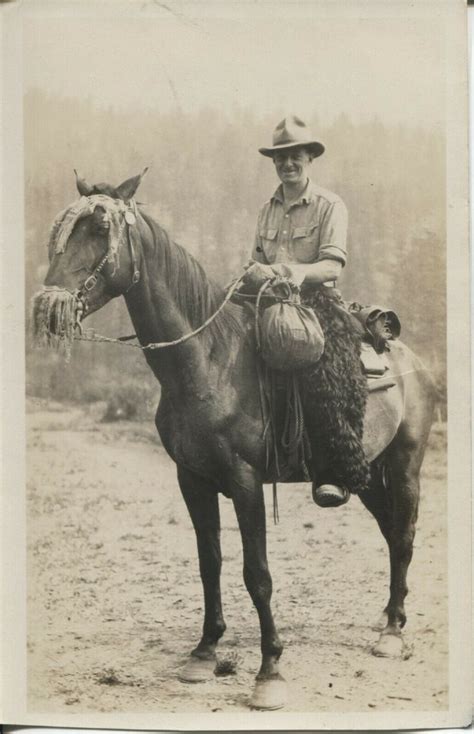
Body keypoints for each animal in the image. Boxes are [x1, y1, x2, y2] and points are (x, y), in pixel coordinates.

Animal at [31, 172, 436, 712]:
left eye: (99, 228)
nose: (46, 305)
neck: (207, 361)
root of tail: (411, 357)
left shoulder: (245, 483)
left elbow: (257, 575)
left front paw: (270, 671)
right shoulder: (192, 480)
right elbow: (210, 564)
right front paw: (204, 653)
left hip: (406, 464)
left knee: (405, 535)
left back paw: (392, 633)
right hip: (367, 472)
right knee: (391, 534)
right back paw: (390, 616)